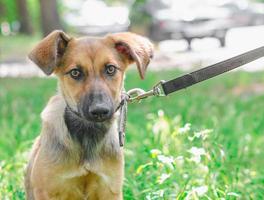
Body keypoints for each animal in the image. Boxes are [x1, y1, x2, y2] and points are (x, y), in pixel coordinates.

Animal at [24, 30, 154, 200]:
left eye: (110, 69)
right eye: (75, 72)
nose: (100, 111)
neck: (87, 135)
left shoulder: (110, 189)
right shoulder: (47, 191)